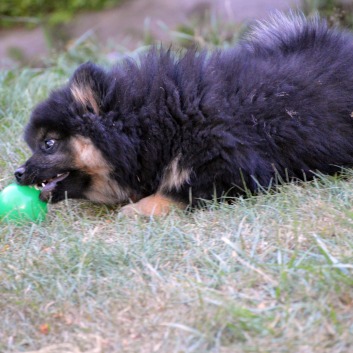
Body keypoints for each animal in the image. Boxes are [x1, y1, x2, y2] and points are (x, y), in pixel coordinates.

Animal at [15, 13, 353, 216]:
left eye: (48, 144)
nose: (17, 173)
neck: (158, 122)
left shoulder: (230, 165)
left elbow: (179, 190)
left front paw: (139, 209)